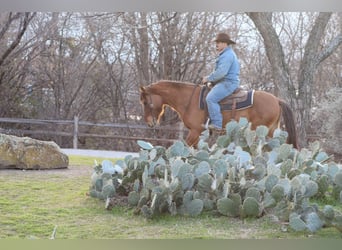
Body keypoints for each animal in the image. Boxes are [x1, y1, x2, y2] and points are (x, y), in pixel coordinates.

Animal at [138, 80, 298, 148]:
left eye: (145, 102)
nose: (149, 123)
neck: (189, 99)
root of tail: (277, 99)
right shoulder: (198, 134)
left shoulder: (195, 131)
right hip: (271, 130)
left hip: (259, 130)